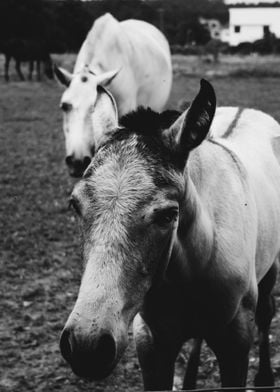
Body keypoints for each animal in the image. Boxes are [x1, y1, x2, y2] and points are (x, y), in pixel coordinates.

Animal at [59, 79, 280, 388]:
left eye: (167, 215)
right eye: (75, 204)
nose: (86, 346)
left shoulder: (236, 344)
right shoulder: (152, 343)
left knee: (266, 314)